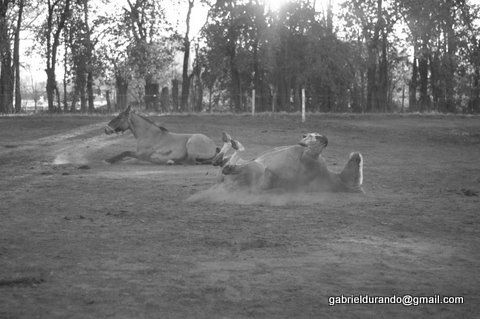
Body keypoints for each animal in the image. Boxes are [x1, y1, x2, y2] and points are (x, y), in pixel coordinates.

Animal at [212, 132, 362, 192]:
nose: (303, 135)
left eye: (313, 136)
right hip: (247, 165)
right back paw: (227, 142)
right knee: (221, 162)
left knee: (226, 166)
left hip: (253, 168)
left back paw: (233, 143)